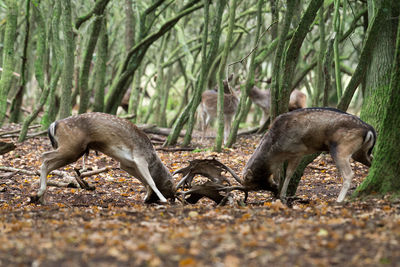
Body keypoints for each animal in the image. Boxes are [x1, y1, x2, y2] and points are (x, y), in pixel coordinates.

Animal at [33, 113, 177, 205]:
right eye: (171, 186)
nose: (174, 198)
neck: (152, 158)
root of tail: (54, 124)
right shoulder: (140, 158)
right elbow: (151, 181)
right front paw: (163, 199)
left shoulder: (126, 164)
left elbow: (145, 181)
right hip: (71, 147)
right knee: (45, 157)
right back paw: (39, 195)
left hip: (73, 149)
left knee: (47, 162)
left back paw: (41, 199)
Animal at [242, 108, 376, 203]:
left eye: (256, 186)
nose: (274, 191)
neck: (277, 149)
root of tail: (369, 129)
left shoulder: (298, 151)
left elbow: (289, 173)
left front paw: (283, 196)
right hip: (360, 152)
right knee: (372, 160)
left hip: (341, 148)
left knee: (348, 174)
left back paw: (339, 200)